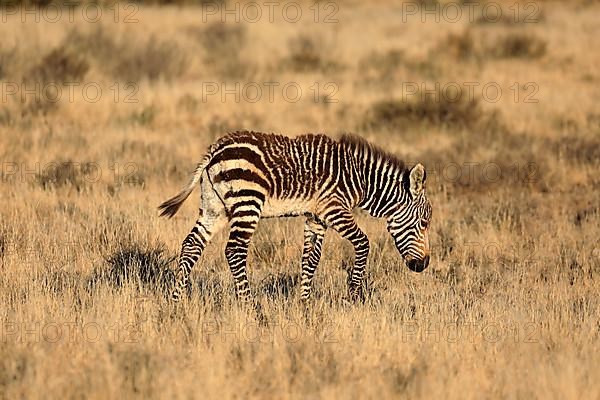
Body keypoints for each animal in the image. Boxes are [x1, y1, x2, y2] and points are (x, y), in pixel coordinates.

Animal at [159, 131, 432, 304]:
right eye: (423, 223)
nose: (424, 265)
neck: (359, 179)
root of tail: (216, 149)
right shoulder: (334, 209)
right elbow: (363, 243)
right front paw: (353, 294)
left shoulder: (315, 217)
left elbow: (310, 261)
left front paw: (305, 305)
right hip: (248, 201)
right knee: (234, 251)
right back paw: (250, 307)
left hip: (215, 207)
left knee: (191, 245)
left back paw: (176, 302)